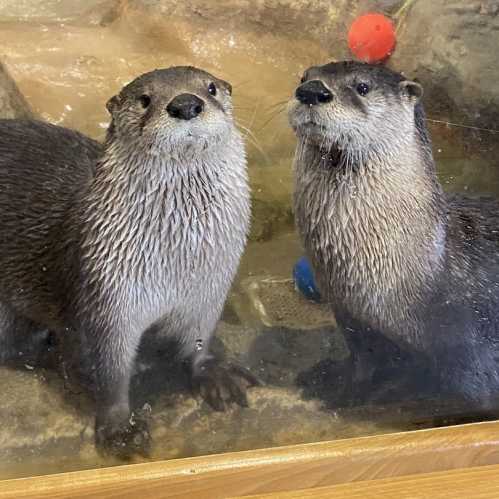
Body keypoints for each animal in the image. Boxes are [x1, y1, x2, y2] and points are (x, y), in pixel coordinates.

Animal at [0, 66, 258, 460]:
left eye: (211, 88)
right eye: (145, 99)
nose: (186, 104)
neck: (175, 265)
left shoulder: (209, 291)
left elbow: (198, 339)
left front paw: (214, 373)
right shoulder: (106, 296)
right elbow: (108, 369)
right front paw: (119, 426)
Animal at [290, 59, 499, 410]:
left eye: (362, 87)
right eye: (303, 77)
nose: (311, 91)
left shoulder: (471, 345)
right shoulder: (354, 321)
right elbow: (364, 361)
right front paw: (339, 383)